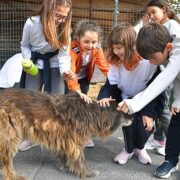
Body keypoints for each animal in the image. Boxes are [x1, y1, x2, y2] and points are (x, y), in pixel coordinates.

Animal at [0, 88, 132, 179]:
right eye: (124, 111)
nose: (134, 117)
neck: (91, 113)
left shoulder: (64, 138)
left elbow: (63, 153)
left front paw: (63, 166)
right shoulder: (74, 141)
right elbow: (80, 159)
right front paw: (88, 173)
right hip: (11, 135)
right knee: (6, 160)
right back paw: (13, 176)